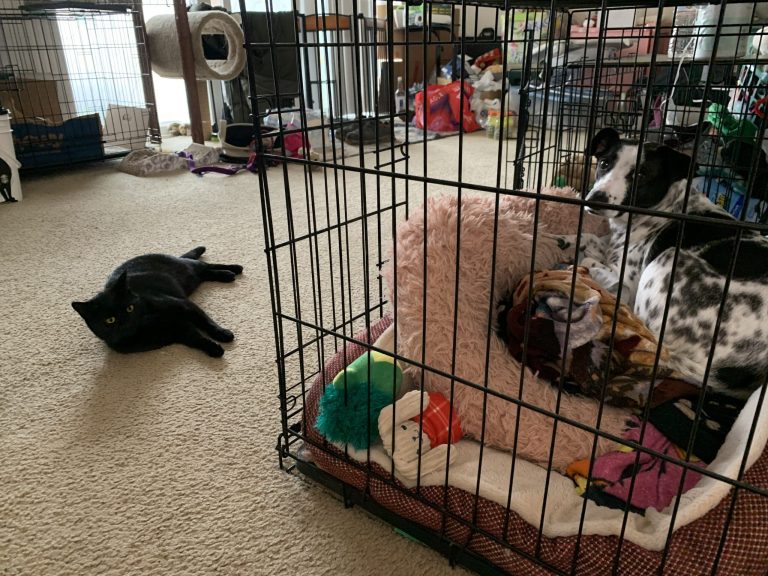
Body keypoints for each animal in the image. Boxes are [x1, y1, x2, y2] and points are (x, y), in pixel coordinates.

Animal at [72, 246, 242, 357]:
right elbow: (195, 338)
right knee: (204, 272)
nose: (126, 320)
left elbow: (206, 322)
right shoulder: (176, 330)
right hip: (191, 280)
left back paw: (233, 270)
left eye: (130, 308)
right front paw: (214, 349)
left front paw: (223, 334)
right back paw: (228, 273)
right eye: (110, 320)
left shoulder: (184, 305)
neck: (148, 325)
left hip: (187, 269)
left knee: (204, 265)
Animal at [564, 127, 768, 399]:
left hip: (668, 259)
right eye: (605, 163)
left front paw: (586, 265)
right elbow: (590, 237)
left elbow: (592, 258)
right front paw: (563, 240)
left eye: (641, 174)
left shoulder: (625, 274)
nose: (596, 199)